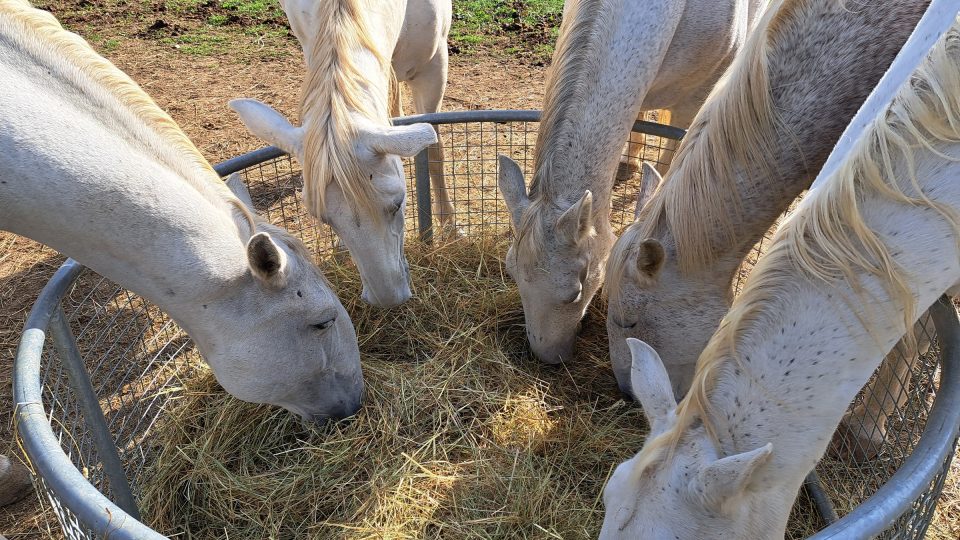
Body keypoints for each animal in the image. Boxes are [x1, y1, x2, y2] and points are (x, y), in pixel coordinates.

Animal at [234, 0, 456, 306]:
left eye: (398, 203)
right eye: (323, 218)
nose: (386, 298)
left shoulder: (433, 69)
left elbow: (434, 153)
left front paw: (450, 228)